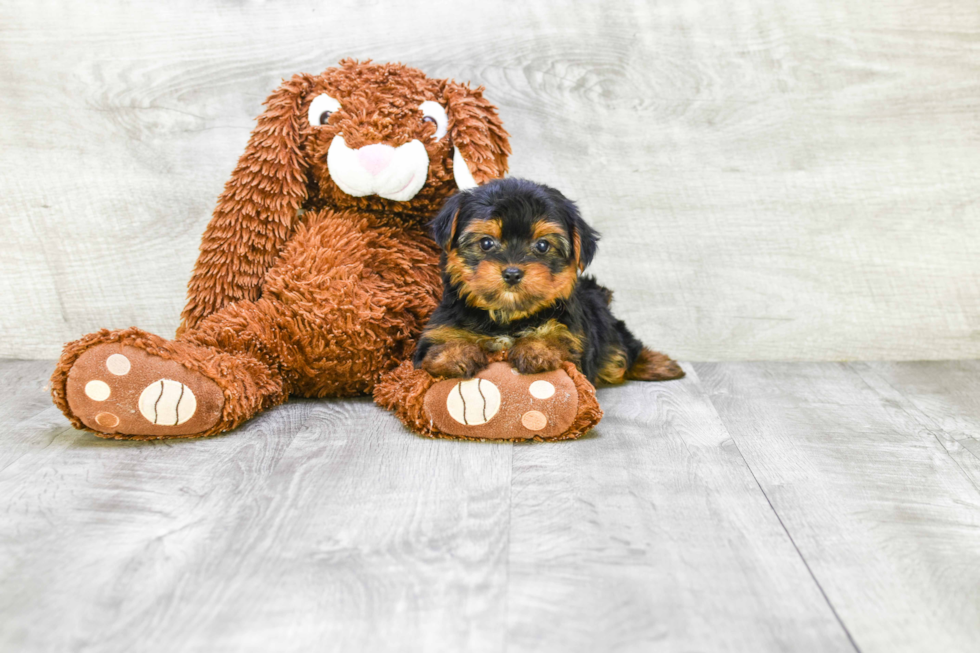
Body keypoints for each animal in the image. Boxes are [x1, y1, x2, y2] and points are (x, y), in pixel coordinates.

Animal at [414, 176, 680, 384]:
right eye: (486, 243)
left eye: (542, 246)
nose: (512, 273)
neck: (507, 317)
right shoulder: (440, 327)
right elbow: (436, 346)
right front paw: (455, 354)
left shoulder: (574, 338)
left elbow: (559, 339)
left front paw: (536, 349)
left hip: (605, 321)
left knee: (623, 346)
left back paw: (660, 365)